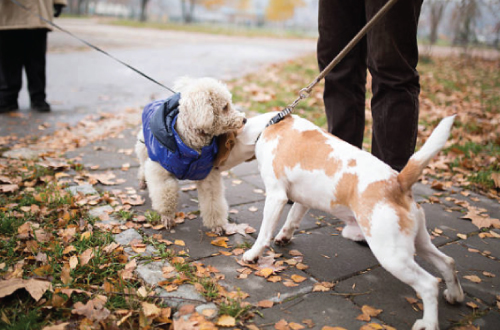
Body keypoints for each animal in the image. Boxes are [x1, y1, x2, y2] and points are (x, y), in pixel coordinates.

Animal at [237, 113, 464, 330]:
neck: (271, 124)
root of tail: (397, 182)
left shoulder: (276, 196)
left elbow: (264, 233)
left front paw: (252, 255)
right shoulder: (303, 200)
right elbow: (293, 218)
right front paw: (284, 237)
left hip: (392, 257)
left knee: (429, 285)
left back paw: (429, 324)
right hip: (419, 243)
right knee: (447, 262)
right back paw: (455, 295)